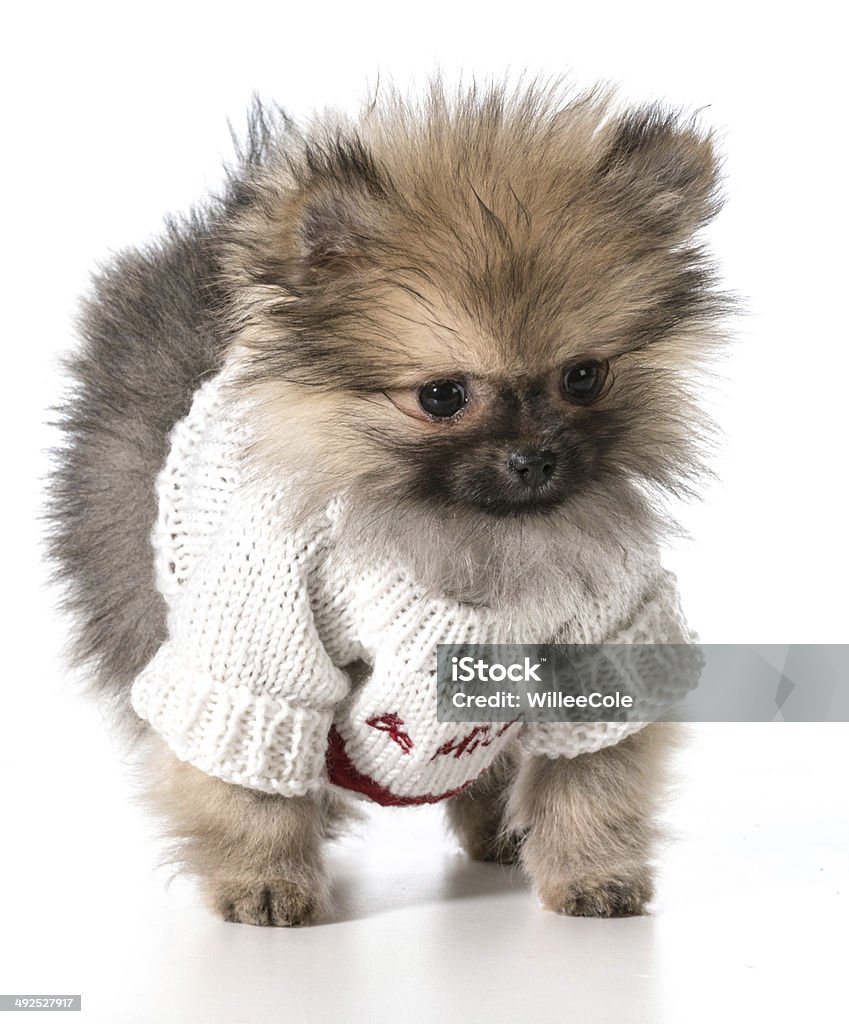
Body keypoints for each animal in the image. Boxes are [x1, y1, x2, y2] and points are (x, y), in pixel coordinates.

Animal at [48, 79, 720, 925]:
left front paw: (592, 873)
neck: (462, 531)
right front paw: (264, 881)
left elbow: (592, 779)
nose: (535, 457)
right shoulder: (258, 645)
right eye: (441, 395)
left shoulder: (607, 635)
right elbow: (248, 779)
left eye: (583, 377)